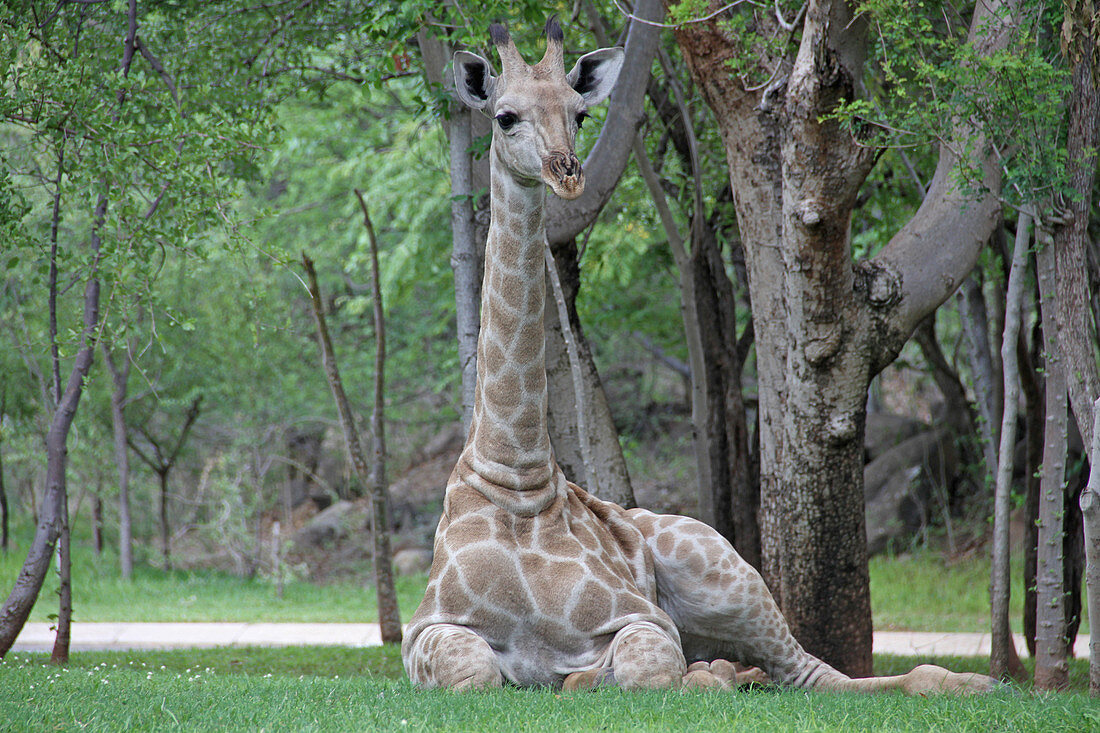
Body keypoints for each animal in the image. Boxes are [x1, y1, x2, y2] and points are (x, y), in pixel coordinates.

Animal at [400, 15, 994, 691]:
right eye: (504, 116)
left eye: (580, 112)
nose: (568, 172)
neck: (517, 478)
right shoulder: (426, 633)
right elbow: (476, 668)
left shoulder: (644, 618)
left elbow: (648, 668)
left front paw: (603, 679)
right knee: (779, 673)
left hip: (726, 573)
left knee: (816, 673)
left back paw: (970, 681)